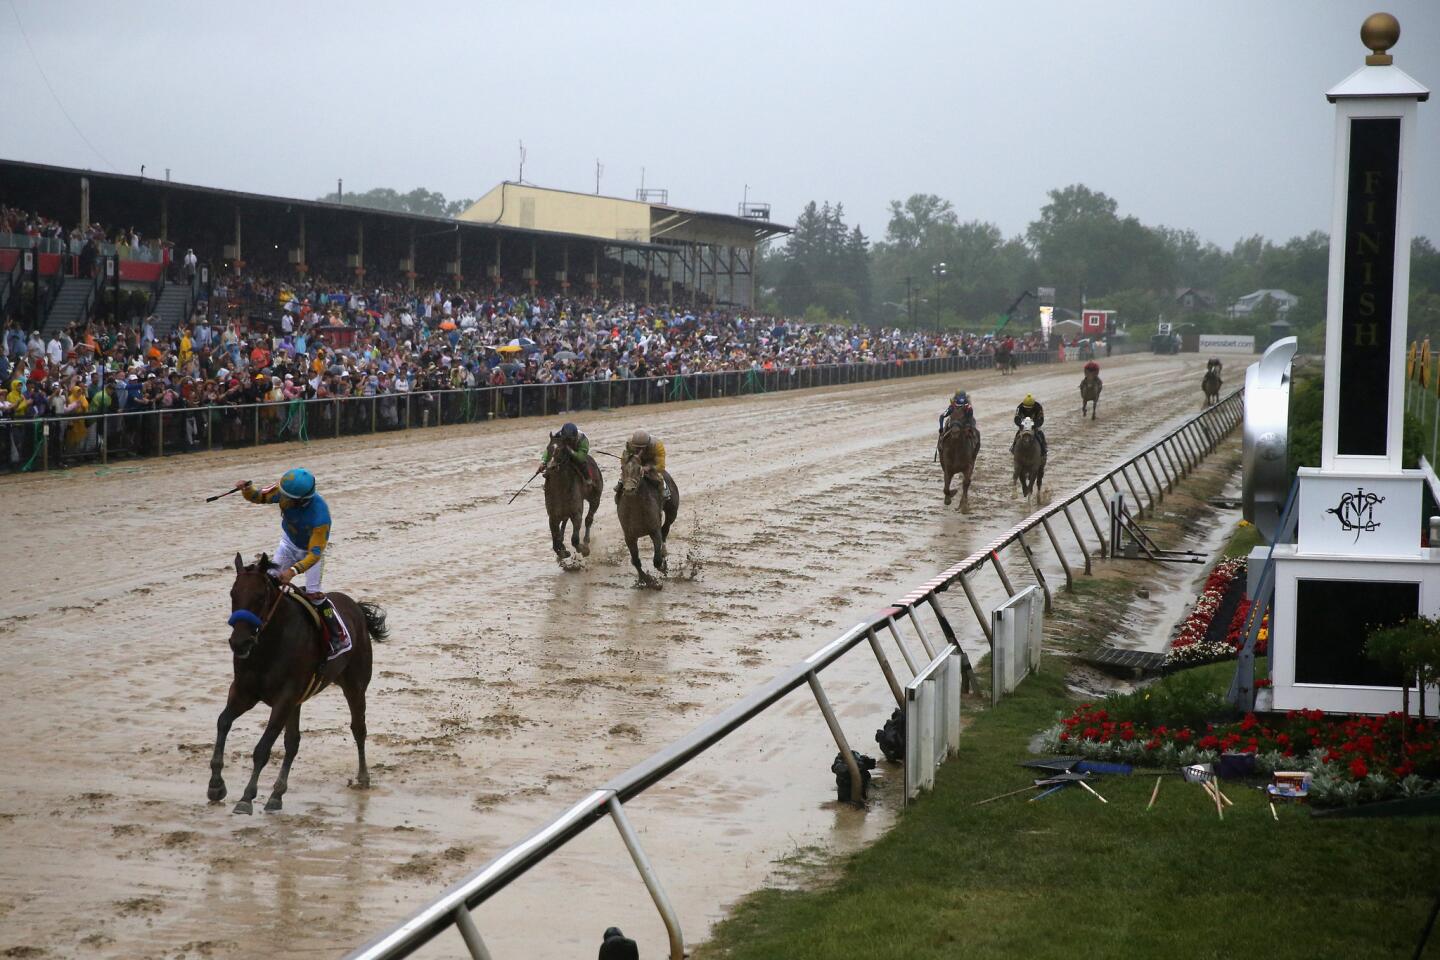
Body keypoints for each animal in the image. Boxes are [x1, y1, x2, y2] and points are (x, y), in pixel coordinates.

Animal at [208, 555, 385, 817]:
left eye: (260, 596)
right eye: (233, 594)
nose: (239, 643)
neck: (268, 647)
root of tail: (356, 607)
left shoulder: (284, 698)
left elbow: (263, 748)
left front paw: (246, 797)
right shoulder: (244, 692)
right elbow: (223, 722)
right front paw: (216, 785)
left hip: (355, 685)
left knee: (358, 729)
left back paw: (363, 777)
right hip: (299, 700)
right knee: (293, 742)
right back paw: (276, 795)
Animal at [544, 434, 601, 564]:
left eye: (561, 449)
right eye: (548, 448)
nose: (551, 467)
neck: (560, 489)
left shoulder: (576, 513)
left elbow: (575, 539)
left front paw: (584, 550)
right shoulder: (553, 517)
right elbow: (555, 543)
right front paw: (562, 551)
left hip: (595, 499)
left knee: (589, 519)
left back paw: (586, 541)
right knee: (564, 524)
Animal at [613, 457, 679, 587]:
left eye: (639, 468)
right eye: (622, 468)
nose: (629, 489)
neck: (636, 510)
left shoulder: (654, 531)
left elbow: (657, 560)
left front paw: (661, 568)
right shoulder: (629, 537)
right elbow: (636, 560)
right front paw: (645, 579)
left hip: (672, 512)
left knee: (665, 528)